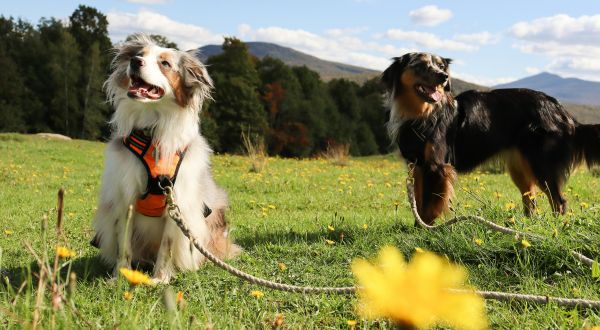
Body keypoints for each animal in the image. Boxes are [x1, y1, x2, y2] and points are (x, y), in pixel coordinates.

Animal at [382, 52, 596, 224]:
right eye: (419, 65)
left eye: (441, 66)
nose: (444, 77)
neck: (422, 114)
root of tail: (563, 112)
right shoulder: (417, 167)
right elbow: (419, 203)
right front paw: (418, 228)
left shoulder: (437, 167)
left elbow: (428, 207)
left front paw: (426, 230)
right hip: (520, 167)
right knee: (531, 200)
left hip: (541, 163)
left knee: (559, 201)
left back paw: (556, 228)